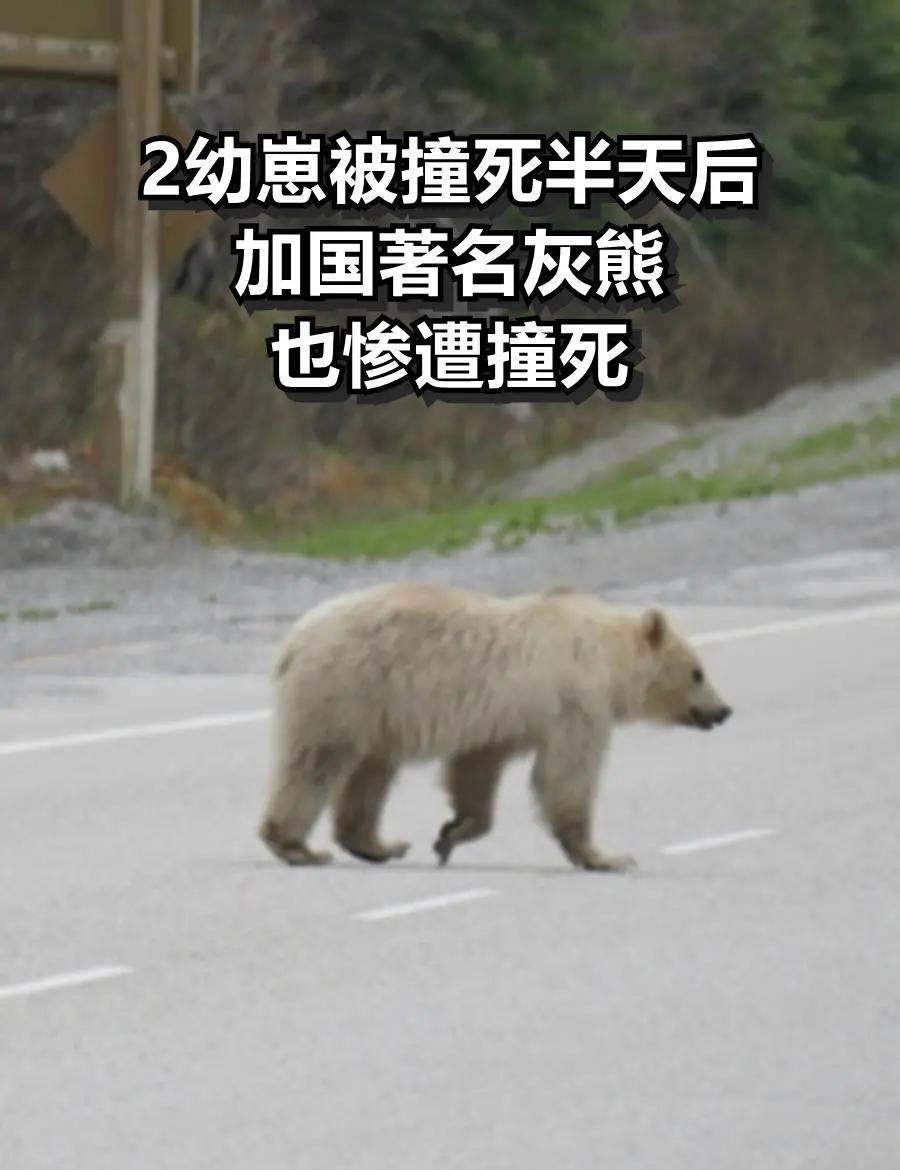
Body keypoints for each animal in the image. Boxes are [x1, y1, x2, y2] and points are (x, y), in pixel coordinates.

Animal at [258, 580, 732, 872]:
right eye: (697, 672)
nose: (723, 710)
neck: (605, 659)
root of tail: (294, 638)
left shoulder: (501, 721)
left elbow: (476, 770)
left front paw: (452, 833)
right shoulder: (573, 702)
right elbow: (566, 775)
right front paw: (605, 856)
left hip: (376, 713)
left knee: (370, 772)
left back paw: (378, 844)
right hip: (345, 689)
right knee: (315, 763)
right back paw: (296, 845)